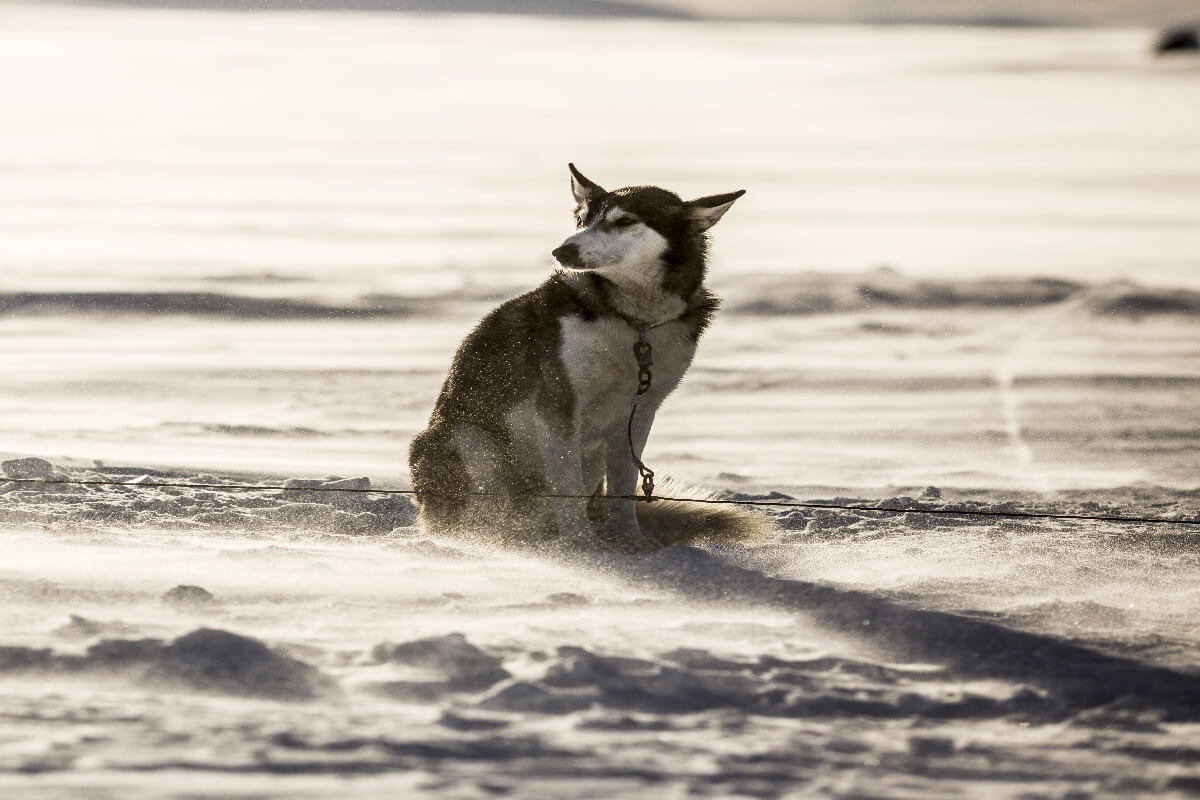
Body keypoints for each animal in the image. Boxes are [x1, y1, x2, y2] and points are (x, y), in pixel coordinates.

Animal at [408, 163, 753, 551]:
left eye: (624, 221)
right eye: (582, 220)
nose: (562, 250)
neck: (634, 321)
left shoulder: (640, 412)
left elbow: (622, 491)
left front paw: (631, 543)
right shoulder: (558, 408)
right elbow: (568, 489)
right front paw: (583, 547)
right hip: (469, 439)